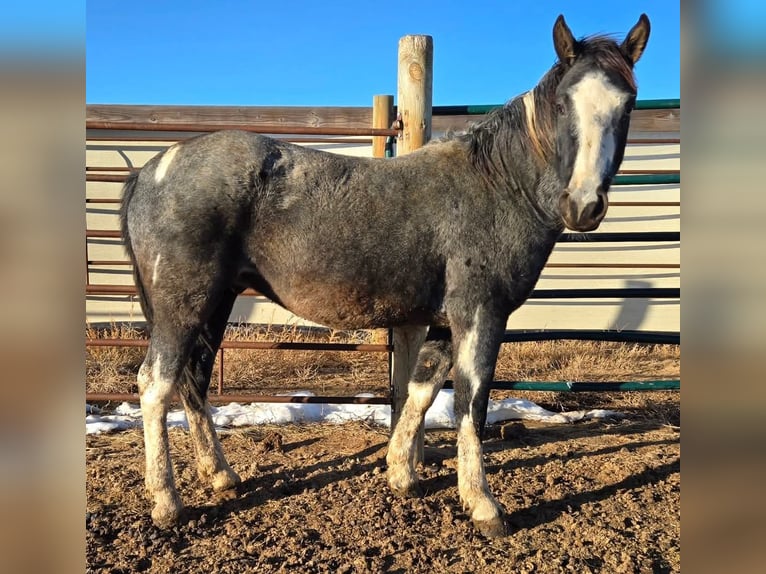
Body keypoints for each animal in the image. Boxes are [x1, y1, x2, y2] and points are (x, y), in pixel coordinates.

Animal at [120, 14, 656, 540]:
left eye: (627, 104)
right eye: (564, 103)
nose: (583, 205)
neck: (498, 184)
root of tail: (152, 170)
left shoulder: (443, 321)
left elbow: (421, 391)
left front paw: (402, 475)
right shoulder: (481, 314)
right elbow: (471, 402)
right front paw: (483, 505)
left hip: (215, 304)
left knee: (193, 379)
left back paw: (221, 476)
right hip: (183, 307)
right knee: (155, 384)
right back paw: (166, 503)